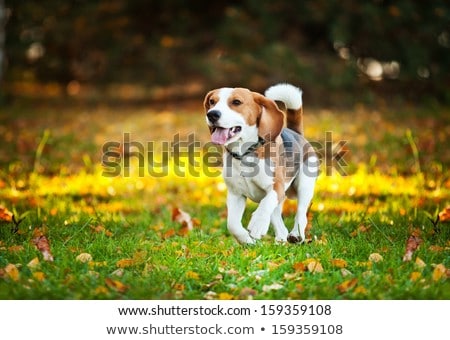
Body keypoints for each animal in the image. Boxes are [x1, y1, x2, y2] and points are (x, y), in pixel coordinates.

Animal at [202, 84, 318, 244]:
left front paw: (258, 223)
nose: (212, 114)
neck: (244, 154)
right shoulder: (235, 194)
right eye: (212, 102)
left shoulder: (276, 187)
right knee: (280, 225)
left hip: (304, 186)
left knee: (300, 213)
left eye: (236, 102)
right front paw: (247, 241)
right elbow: (232, 224)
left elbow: (265, 204)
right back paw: (280, 241)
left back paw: (296, 234)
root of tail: (297, 134)